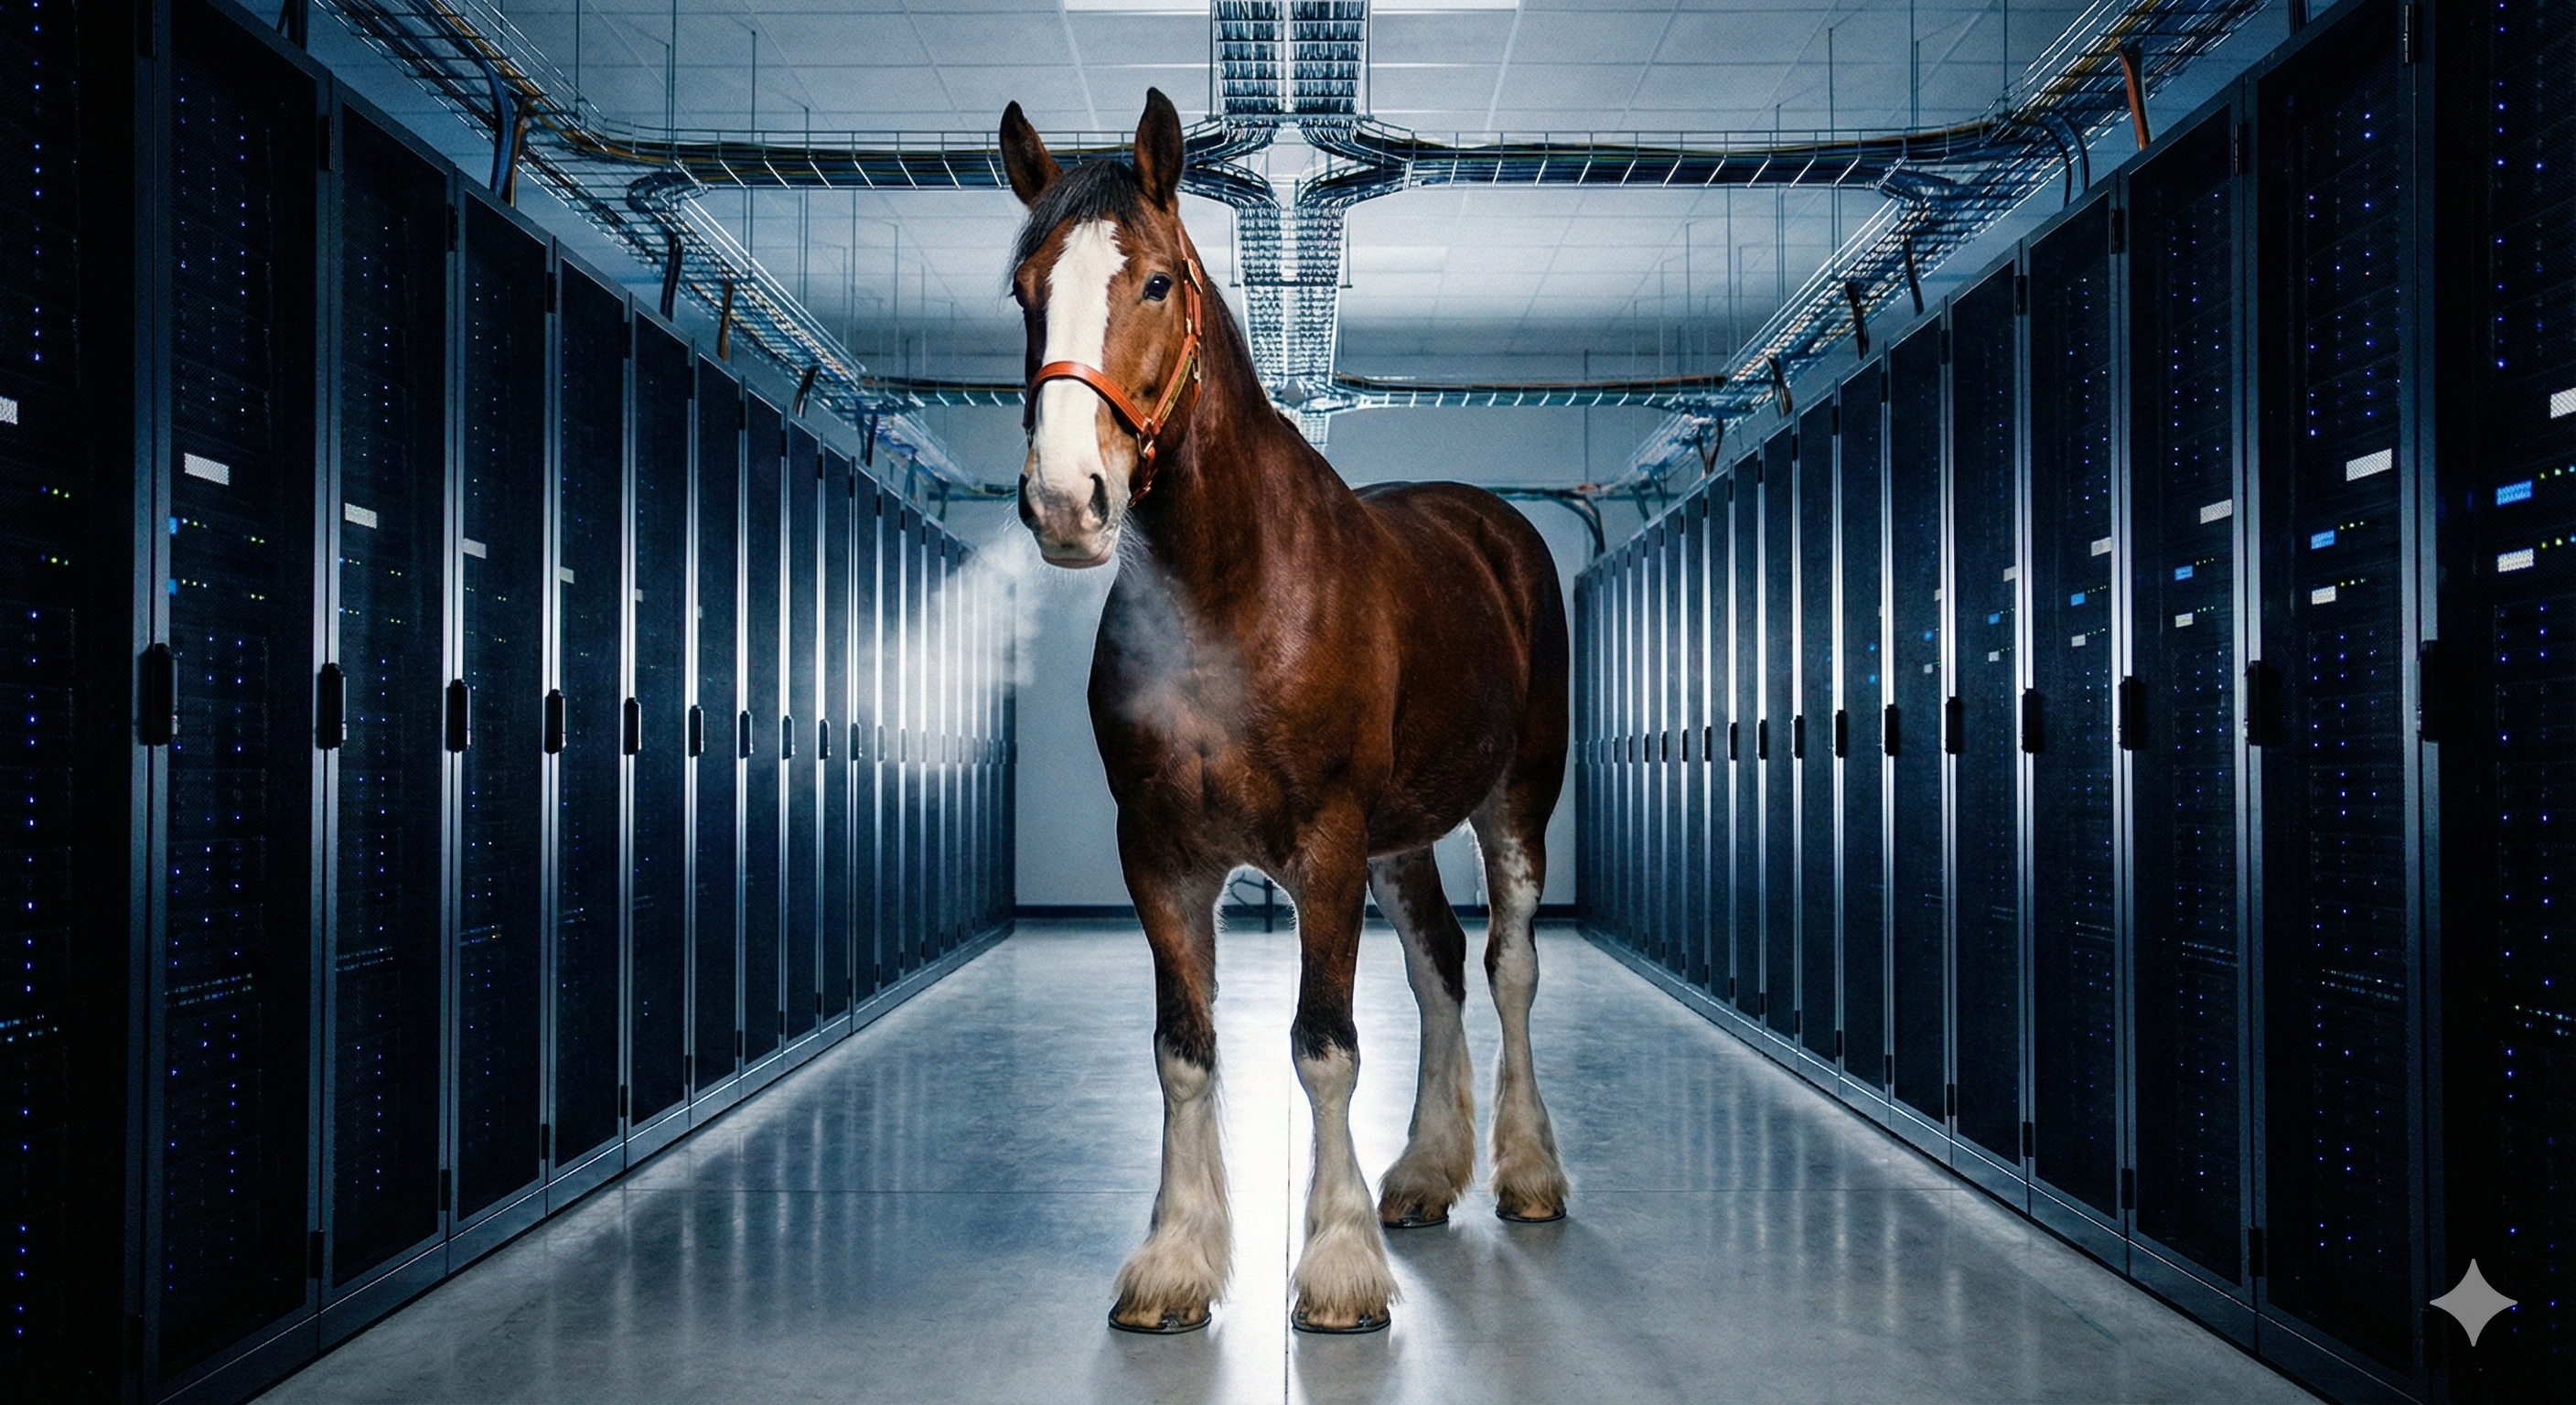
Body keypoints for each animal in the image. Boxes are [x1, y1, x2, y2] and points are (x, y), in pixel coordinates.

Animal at [1000, 89, 1572, 1335]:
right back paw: (1423, 1176)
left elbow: (1322, 1046)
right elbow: (1184, 1048)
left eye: (1156, 282)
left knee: (1506, 966)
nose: (1067, 500)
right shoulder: (1158, 855)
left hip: (1511, 802)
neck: (1231, 592)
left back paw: (1525, 1173)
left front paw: (1340, 1268)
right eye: (1024, 288)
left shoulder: (1323, 847)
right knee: (1438, 967)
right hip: (1400, 838)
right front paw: (1173, 1261)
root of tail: (1493, 527)